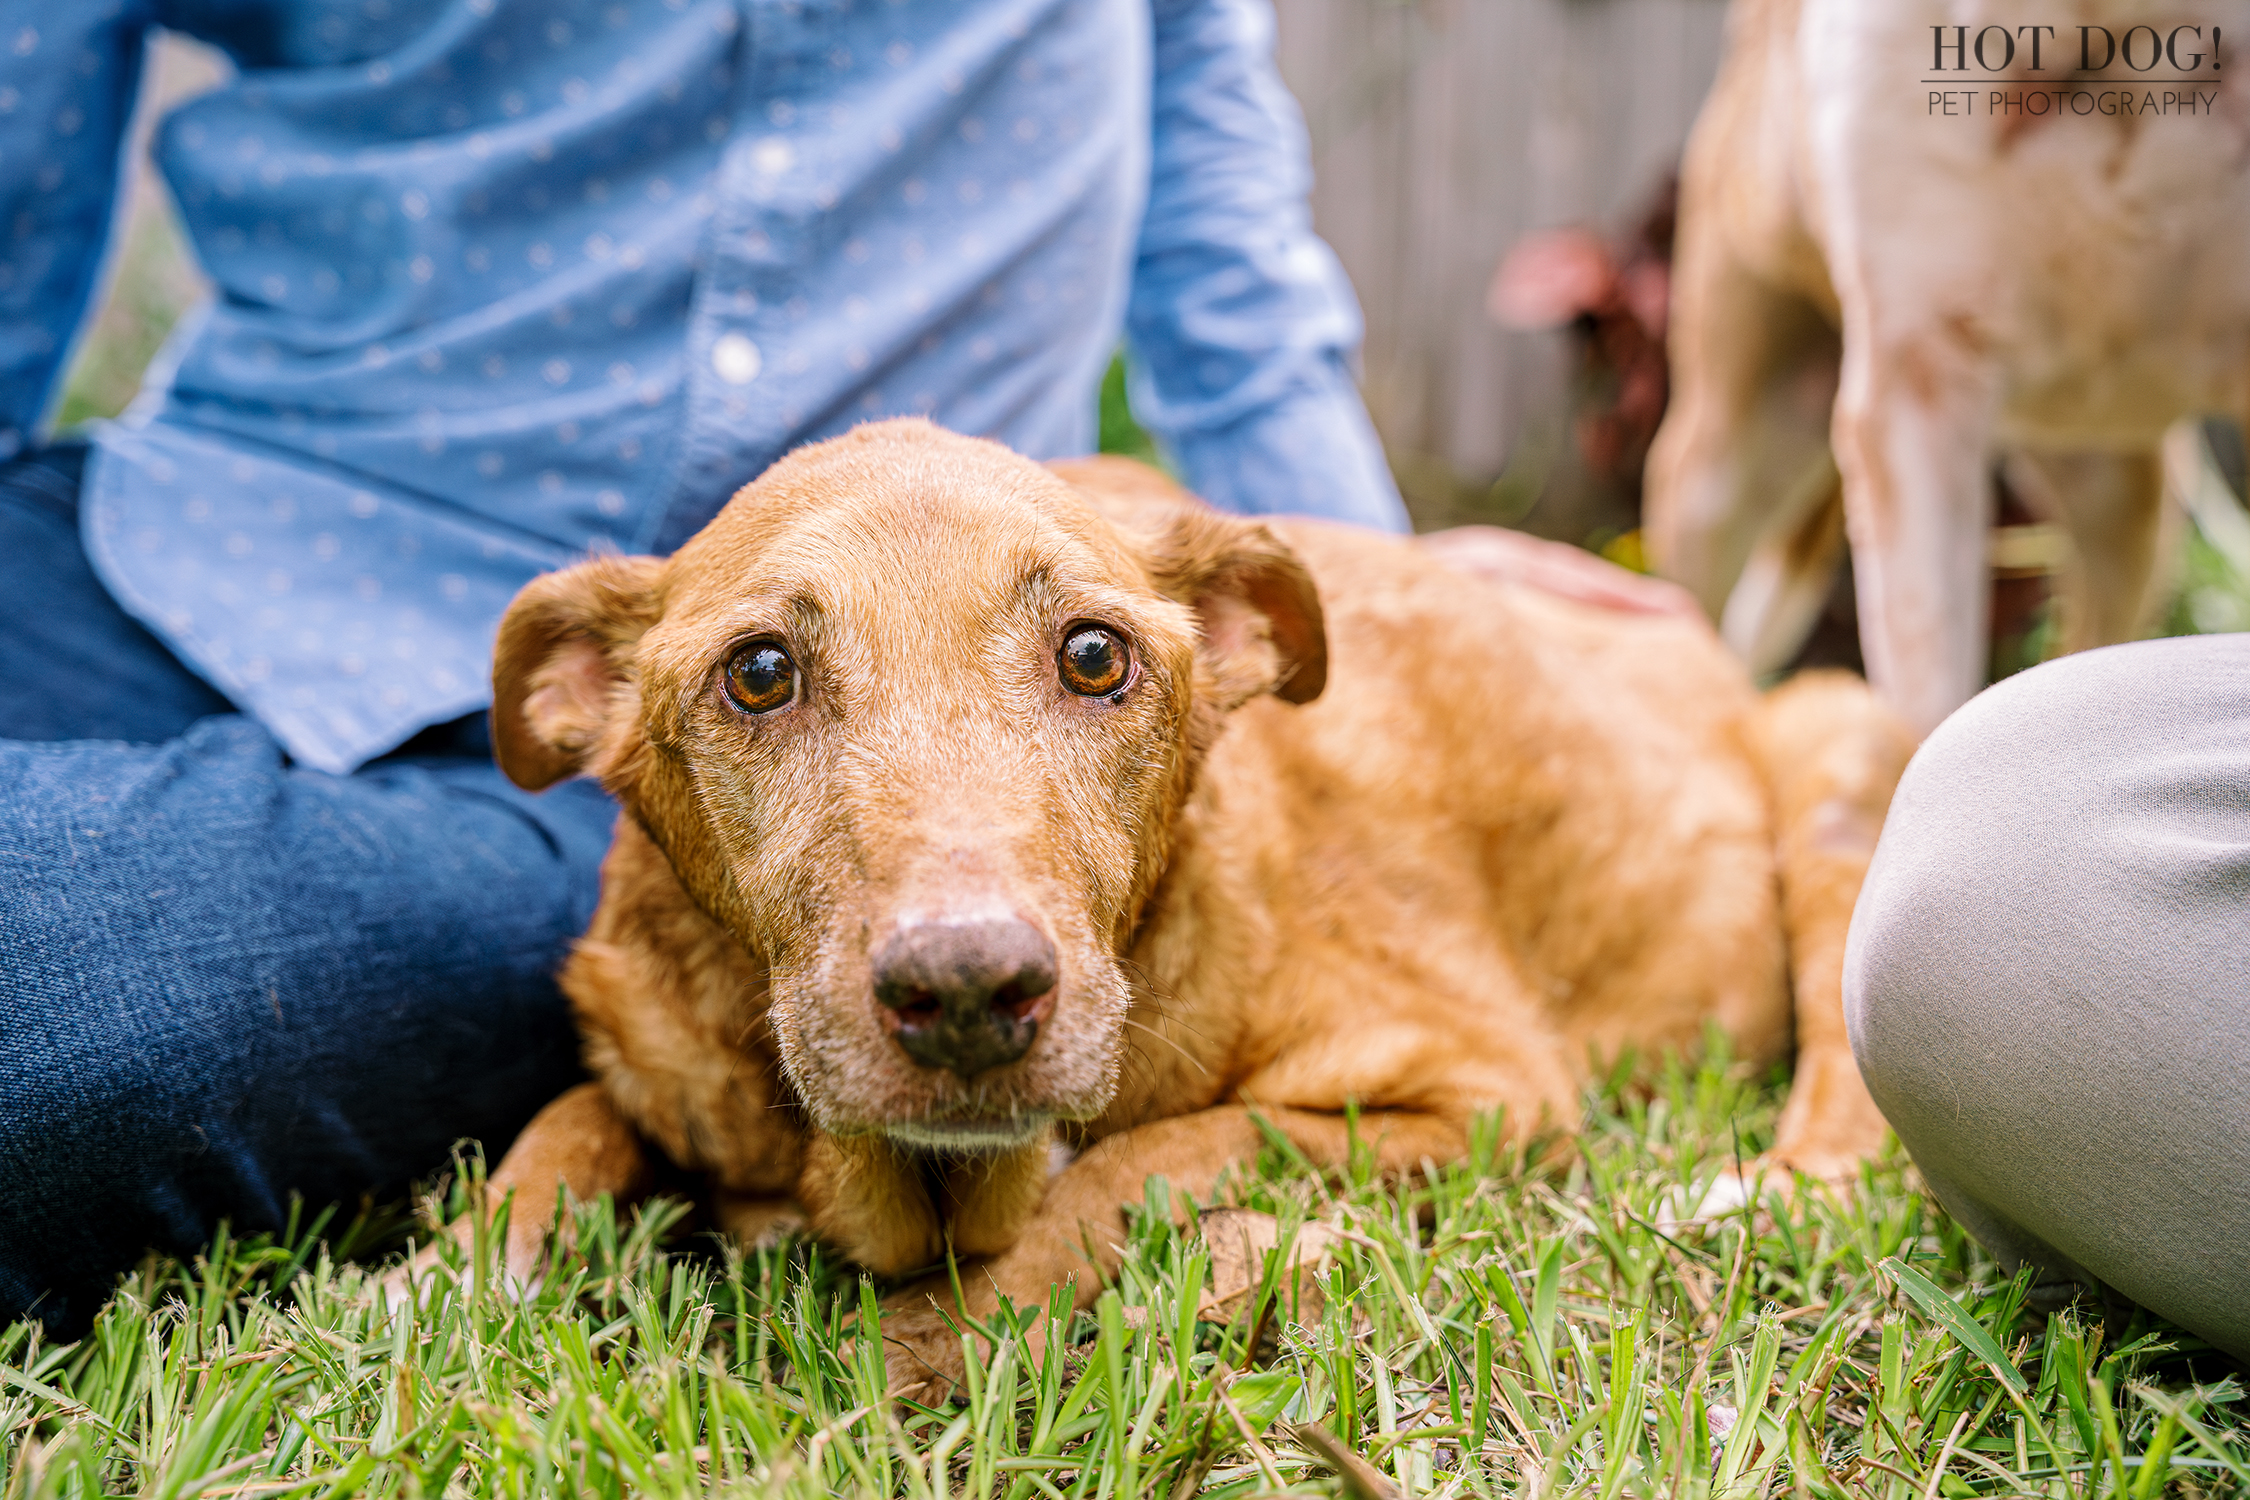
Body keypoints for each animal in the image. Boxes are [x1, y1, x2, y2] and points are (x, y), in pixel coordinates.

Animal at [429, 420, 1908, 1394]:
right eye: (757, 674)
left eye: (1095, 656)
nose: (967, 994)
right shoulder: (656, 1062)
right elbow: (565, 1124)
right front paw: (447, 1279)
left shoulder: (1479, 1097)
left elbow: (1137, 1165)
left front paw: (919, 1344)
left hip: (1838, 759)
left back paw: (1758, 1190)